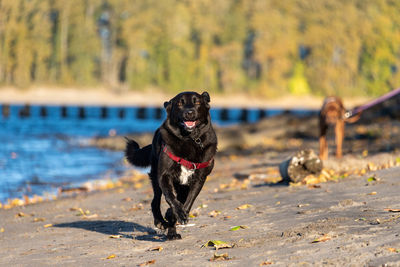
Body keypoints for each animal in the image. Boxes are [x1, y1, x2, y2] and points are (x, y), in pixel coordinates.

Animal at [126, 92, 217, 241]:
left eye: (197, 102)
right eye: (180, 103)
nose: (189, 112)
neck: (189, 139)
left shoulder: (199, 179)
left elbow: (189, 201)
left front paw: (176, 214)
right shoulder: (164, 176)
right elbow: (170, 197)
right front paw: (175, 213)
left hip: (182, 186)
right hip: (155, 178)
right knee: (155, 201)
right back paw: (162, 223)